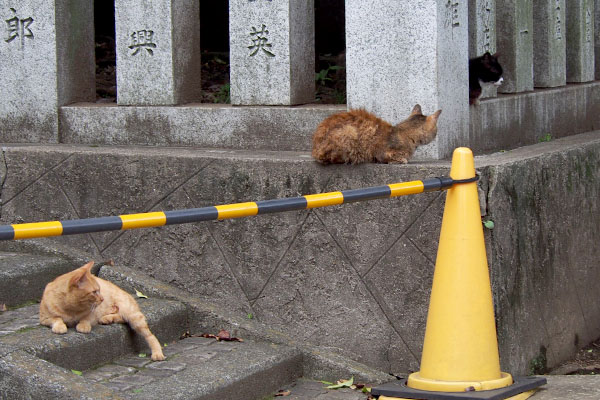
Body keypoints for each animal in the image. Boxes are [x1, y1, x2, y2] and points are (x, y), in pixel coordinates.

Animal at [312, 105, 442, 165]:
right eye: (436, 130)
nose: (437, 135)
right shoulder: (384, 153)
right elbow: (399, 159)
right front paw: (401, 160)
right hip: (349, 132)